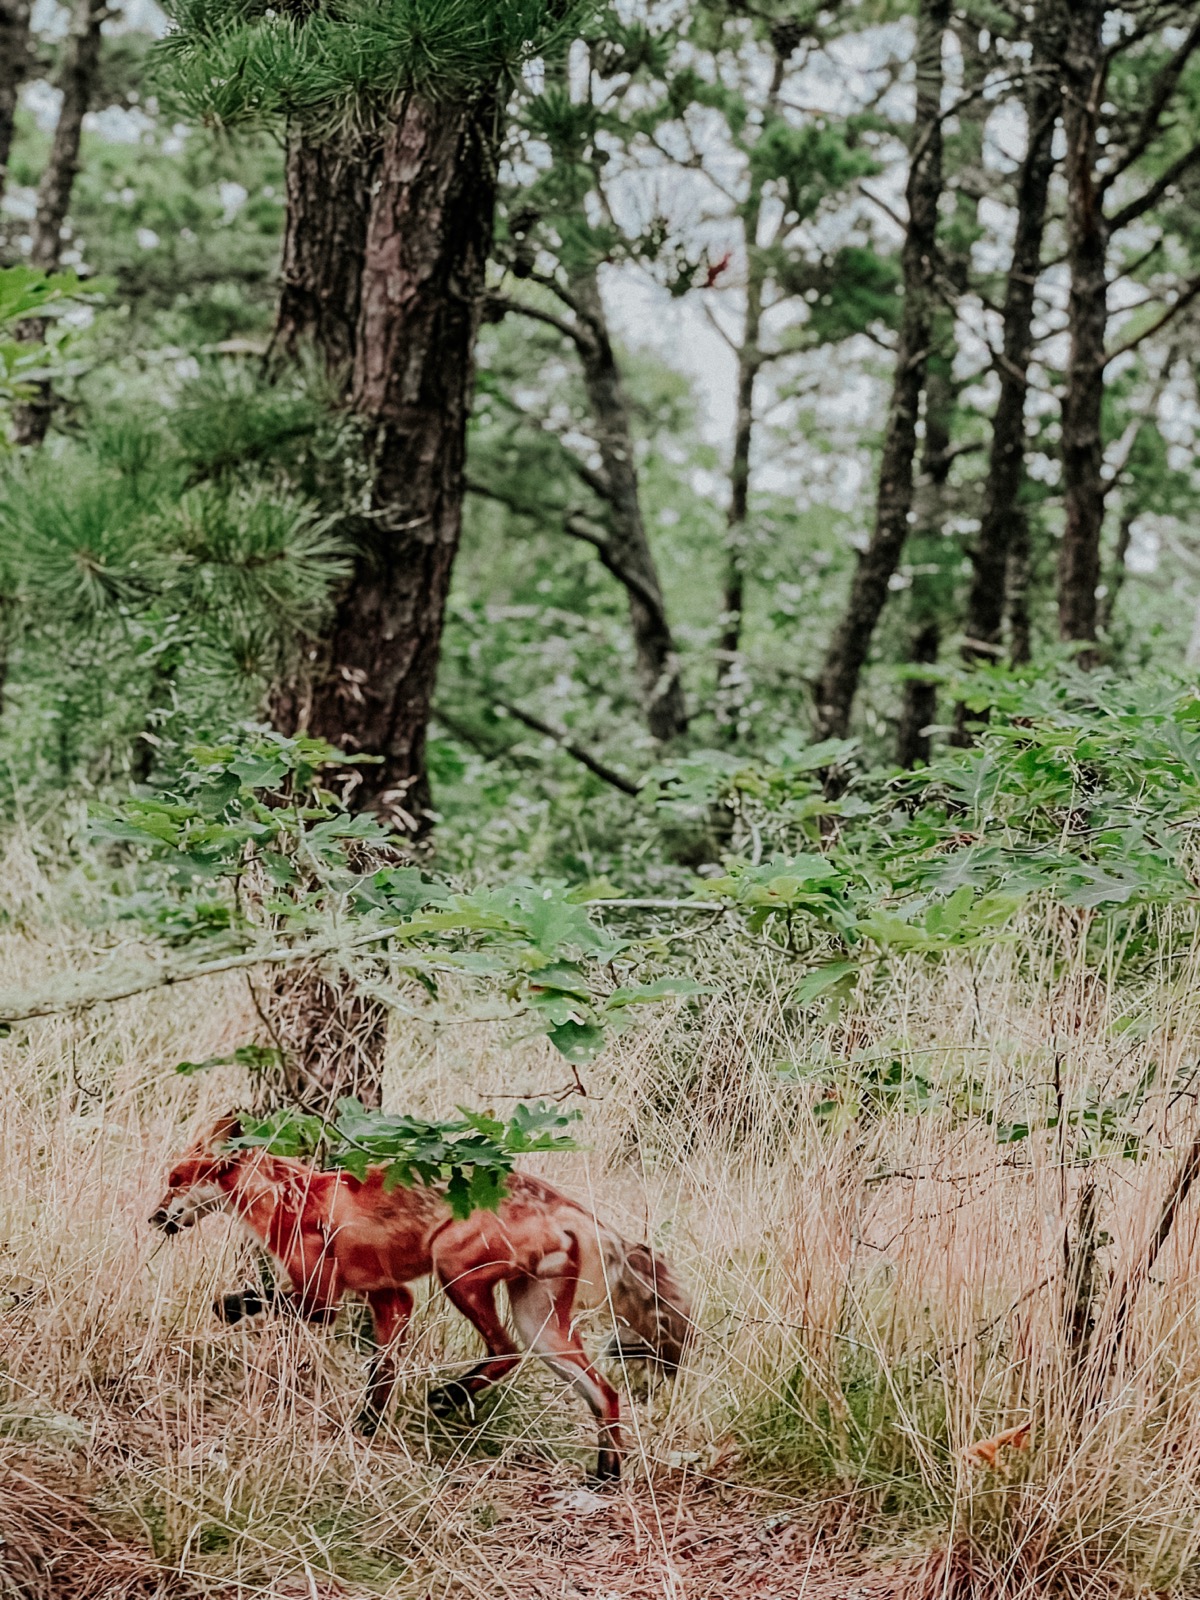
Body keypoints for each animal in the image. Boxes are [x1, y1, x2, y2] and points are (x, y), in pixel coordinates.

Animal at [150, 1115, 692, 1481]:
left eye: (175, 1181)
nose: (153, 1217)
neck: (287, 1197)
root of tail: (565, 1202)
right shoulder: (391, 1297)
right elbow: (382, 1374)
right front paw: (366, 1427)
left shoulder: (322, 1297)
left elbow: (258, 1300)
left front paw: (229, 1307)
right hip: (540, 1324)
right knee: (604, 1392)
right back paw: (607, 1473)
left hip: (457, 1273)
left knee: (506, 1351)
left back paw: (449, 1395)